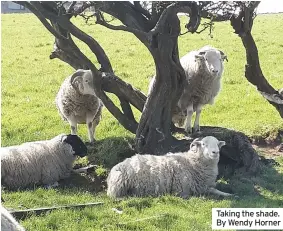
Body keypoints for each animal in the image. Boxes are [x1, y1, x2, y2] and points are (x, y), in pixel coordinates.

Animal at [107, 135, 235, 199]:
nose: (215, 152)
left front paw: (229, 194)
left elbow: (215, 189)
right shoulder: (183, 190)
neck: (192, 162)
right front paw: (228, 195)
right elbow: (212, 191)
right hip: (119, 186)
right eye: (204, 144)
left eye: (218, 144)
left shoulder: (203, 186)